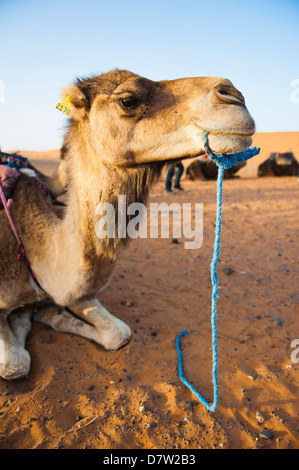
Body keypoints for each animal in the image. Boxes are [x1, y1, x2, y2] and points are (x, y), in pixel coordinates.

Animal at [0, 68, 255, 380]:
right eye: (128, 100)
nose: (234, 95)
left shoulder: (75, 294)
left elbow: (119, 333)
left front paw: (46, 313)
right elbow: (15, 364)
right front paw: (26, 318)